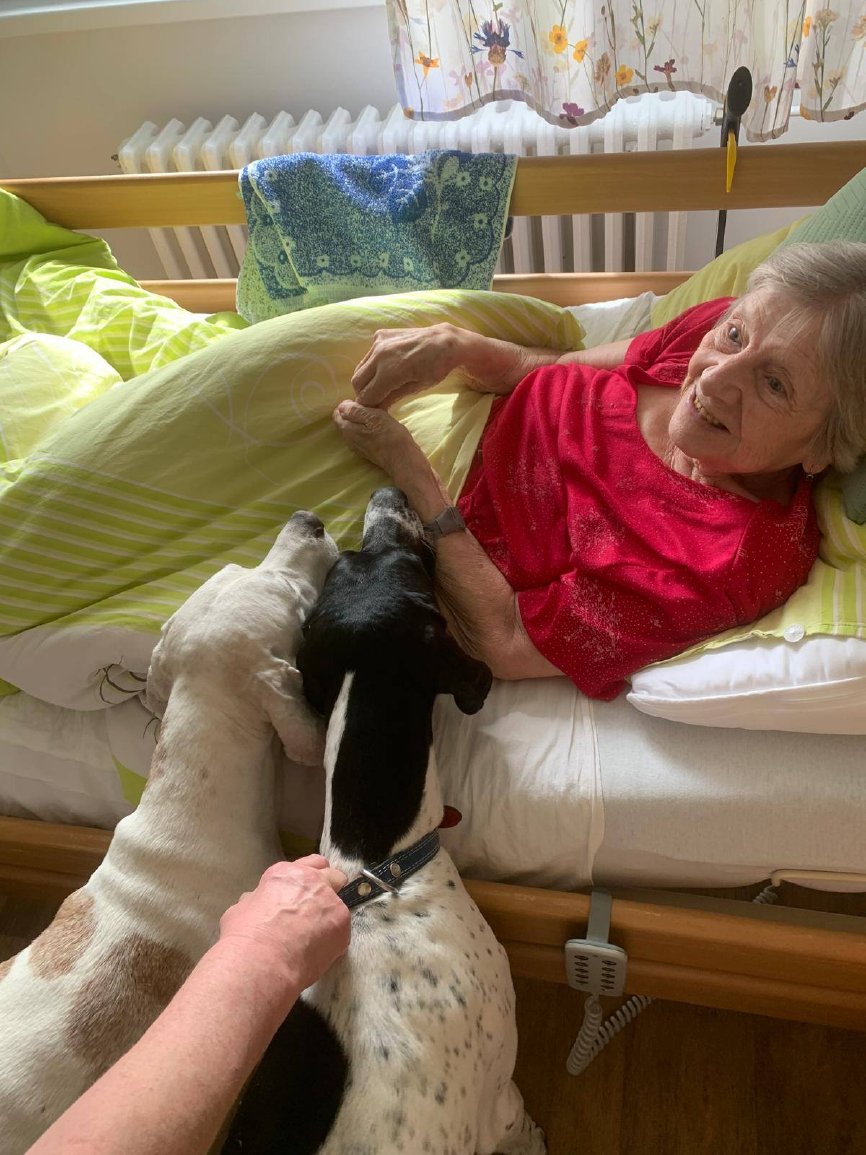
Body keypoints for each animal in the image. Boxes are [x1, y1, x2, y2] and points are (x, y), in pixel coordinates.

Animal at [224, 487, 546, 1155]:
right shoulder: (500, 1092)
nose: (387, 494)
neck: (378, 867)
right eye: (405, 562)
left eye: (345, 562)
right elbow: (520, 1123)